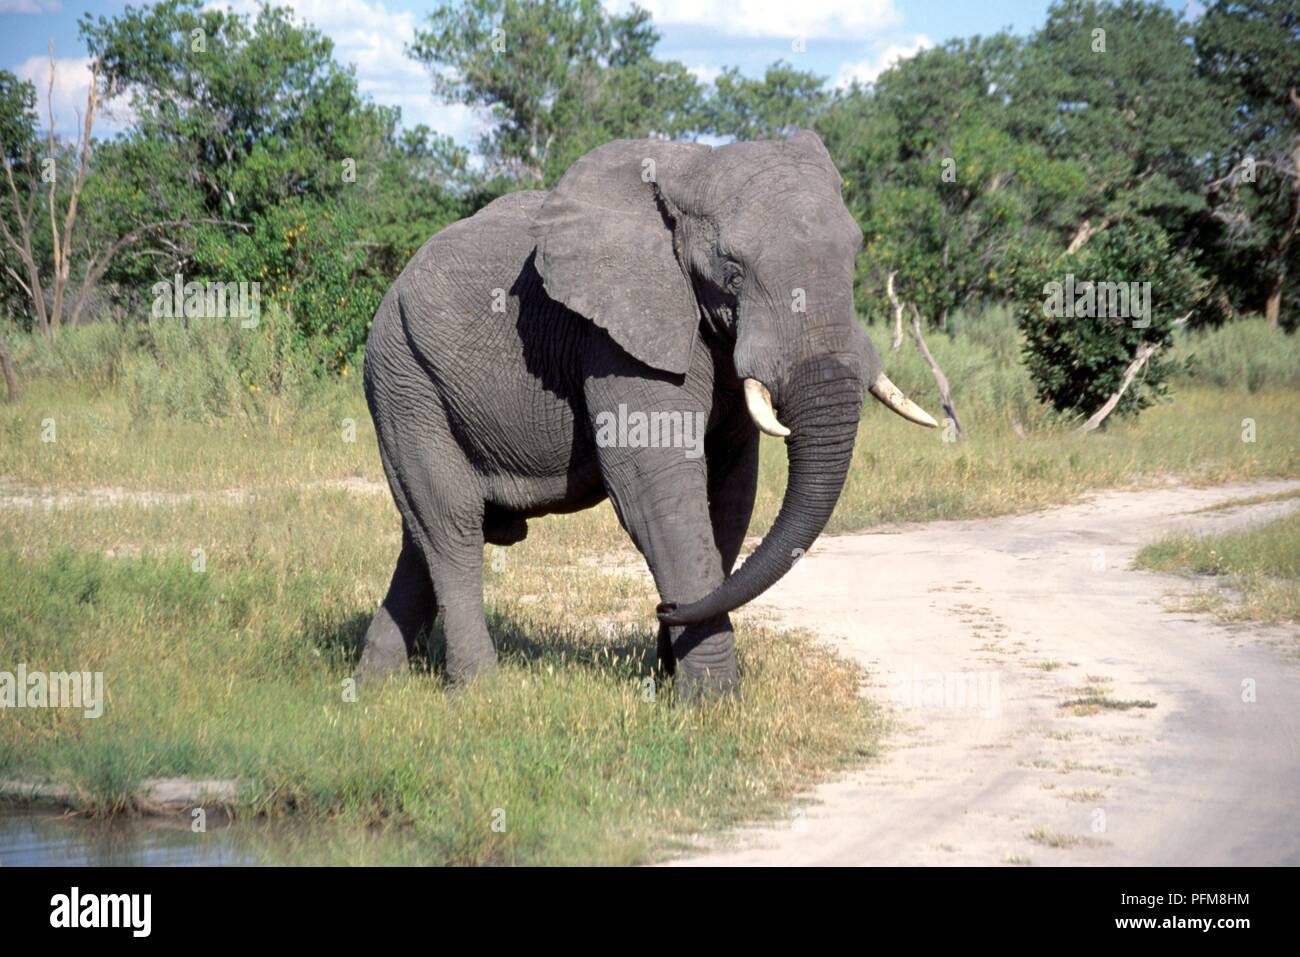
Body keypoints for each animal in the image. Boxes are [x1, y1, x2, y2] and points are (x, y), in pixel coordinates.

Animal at [355, 130, 937, 702]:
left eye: (854, 255)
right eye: (732, 271)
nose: (665, 608)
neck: (694, 167)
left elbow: (730, 492)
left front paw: (674, 681)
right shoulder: (616, 339)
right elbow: (655, 485)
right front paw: (712, 705)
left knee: (423, 534)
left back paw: (373, 688)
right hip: (402, 375)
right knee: (450, 524)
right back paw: (479, 694)